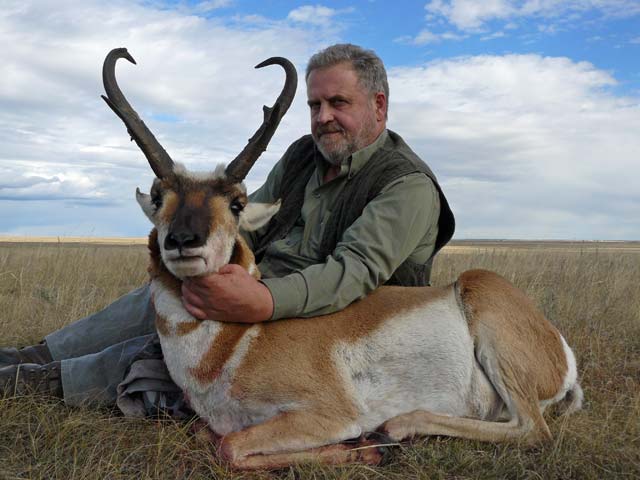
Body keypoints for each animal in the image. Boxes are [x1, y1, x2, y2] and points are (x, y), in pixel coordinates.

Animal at [102, 47, 584, 468]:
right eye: (160, 197)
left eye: (237, 203)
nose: (184, 240)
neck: (236, 342)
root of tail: (562, 356)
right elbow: (212, 436)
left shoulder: (329, 414)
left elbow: (230, 447)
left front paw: (365, 450)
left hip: (484, 300)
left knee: (532, 430)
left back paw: (395, 428)